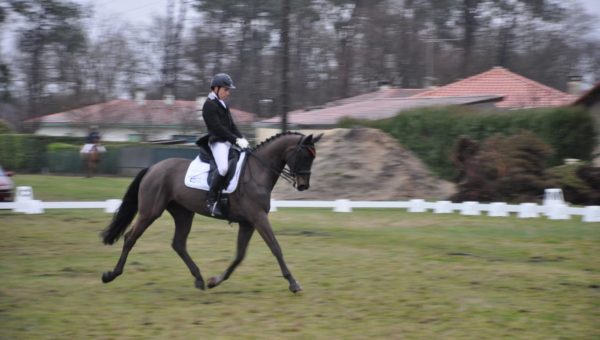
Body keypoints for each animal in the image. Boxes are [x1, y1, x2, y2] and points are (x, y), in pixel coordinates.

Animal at [101, 131, 322, 294]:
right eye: (304, 156)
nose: (303, 185)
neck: (258, 171)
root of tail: (152, 168)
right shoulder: (258, 218)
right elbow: (275, 247)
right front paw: (293, 283)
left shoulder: (248, 222)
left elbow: (239, 255)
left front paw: (215, 280)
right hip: (150, 212)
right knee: (130, 237)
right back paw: (111, 275)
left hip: (183, 213)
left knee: (178, 244)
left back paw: (199, 279)